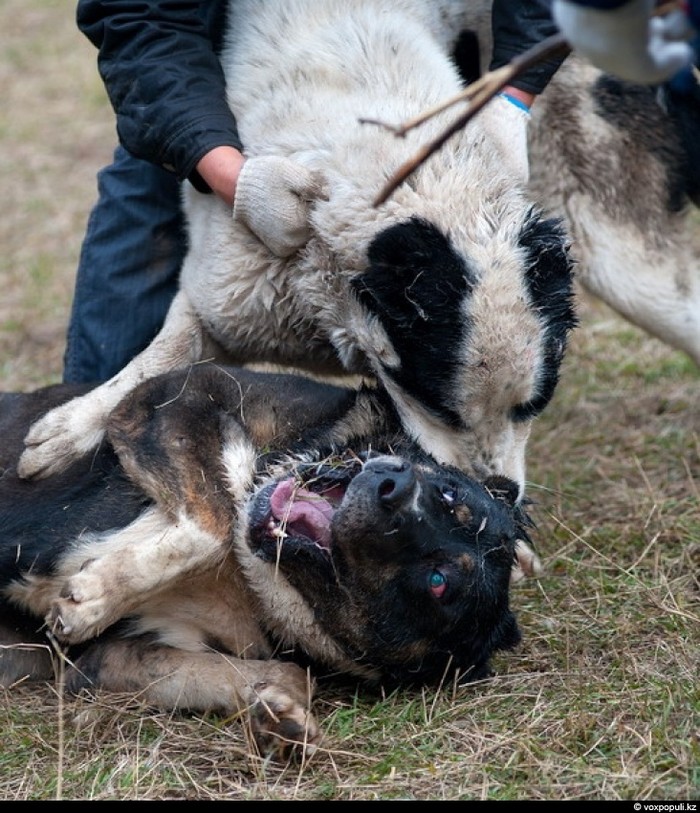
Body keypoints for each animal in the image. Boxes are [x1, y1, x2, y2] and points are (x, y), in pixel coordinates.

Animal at [0, 364, 532, 760]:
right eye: (449, 492)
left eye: (438, 581)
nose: (390, 491)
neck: (250, 580)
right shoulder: (176, 393)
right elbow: (215, 519)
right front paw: (93, 598)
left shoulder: (107, 660)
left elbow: (291, 676)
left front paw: (281, 719)